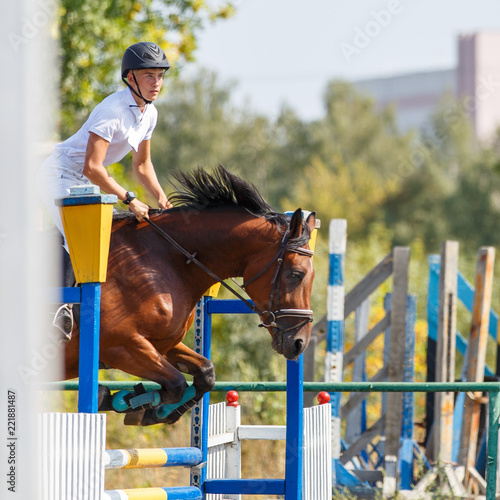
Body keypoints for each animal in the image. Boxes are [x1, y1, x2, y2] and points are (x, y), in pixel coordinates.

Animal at [62, 166, 314, 424]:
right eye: (296, 274)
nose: (299, 343)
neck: (161, 259)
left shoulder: (161, 343)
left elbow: (205, 373)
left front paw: (155, 411)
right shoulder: (121, 345)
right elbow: (176, 383)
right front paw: (125, 401)